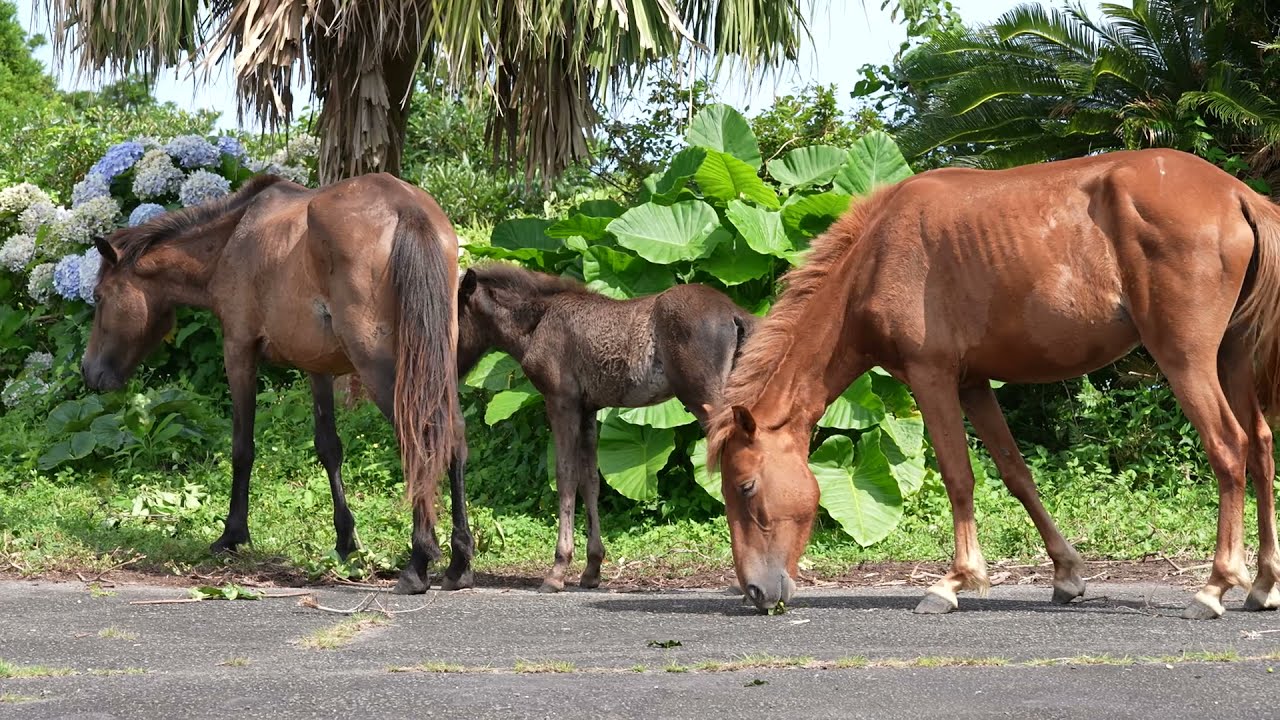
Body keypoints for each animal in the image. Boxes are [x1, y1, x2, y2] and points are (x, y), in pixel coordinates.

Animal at [82, 173, 472, 595]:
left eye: (98, 297)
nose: (89, 371)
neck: (231, 240)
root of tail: (407, 207)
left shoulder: (238, 350)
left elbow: (242, 447)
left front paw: (232, 535)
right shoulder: (318, 366)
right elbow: (329, 448)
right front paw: (345, 542)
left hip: (382, 369)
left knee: (420, 439)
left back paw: (418, 562)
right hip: (435, 363)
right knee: (454, 437)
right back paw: (459, 562)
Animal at [456, 263, 756, 592]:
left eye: (455, 313)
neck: (536, 323)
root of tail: (734, 313)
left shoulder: (561, 401)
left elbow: (565, 476)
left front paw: (558, 569)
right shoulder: (588, 410)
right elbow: (590, 480)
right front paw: (592, 569)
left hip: (704, 399)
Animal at [707, 148, 1280, 620]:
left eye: (745, 486)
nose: (755, 592)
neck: (878, 256)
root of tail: (1237, 194)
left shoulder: (932, 378)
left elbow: (958, 477)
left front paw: (953, 582)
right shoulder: (974, 384)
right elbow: (1016, 474)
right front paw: (1066, 574)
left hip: (1187, 361)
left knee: (1229, 448)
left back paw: (1216, 586)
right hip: (1230, 359)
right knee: (1260, 447)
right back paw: (1263, 584)